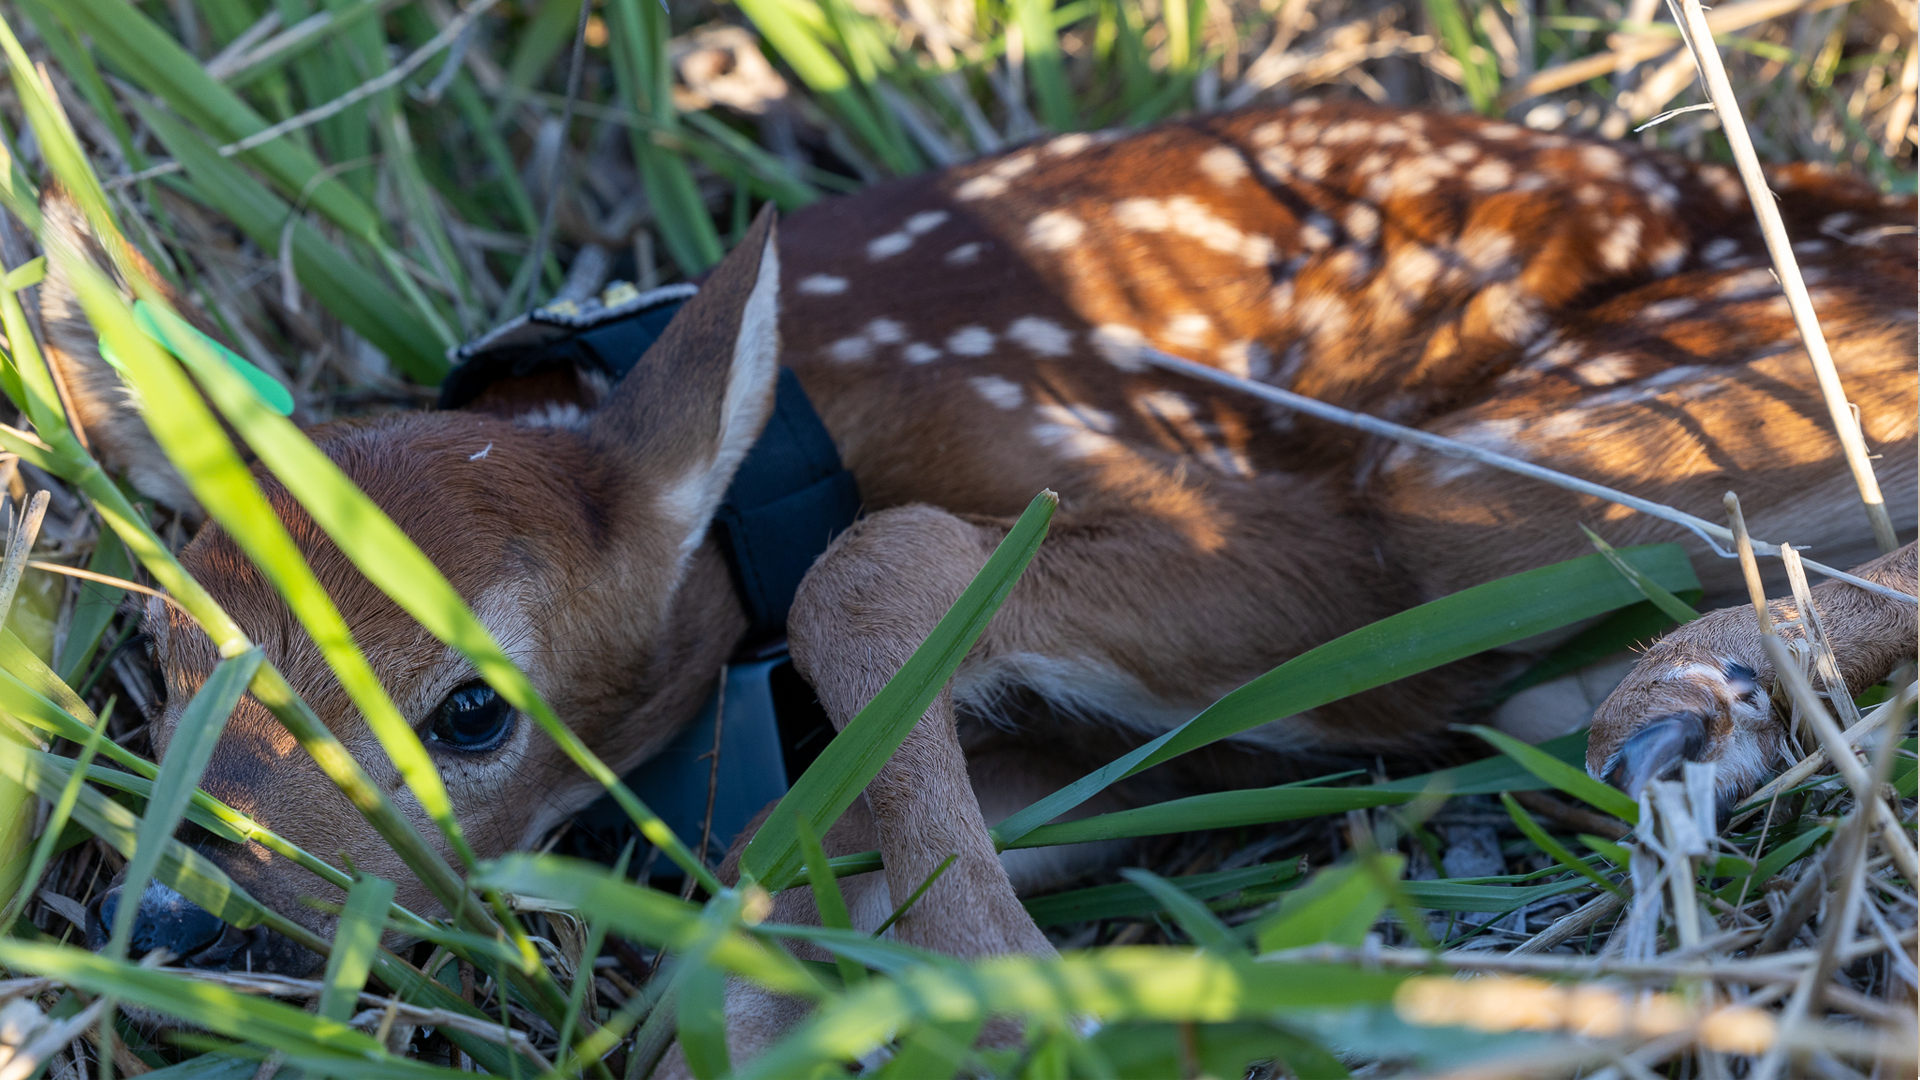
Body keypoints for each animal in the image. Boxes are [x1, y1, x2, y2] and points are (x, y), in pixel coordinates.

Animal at [31, 98, 1915, 1068]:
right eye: (153, 656)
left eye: (472, 711)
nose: (169, 925)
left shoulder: (1283, 551)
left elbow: (881, 567)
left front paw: (1019, 988)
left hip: (1486, 463)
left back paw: (1684, 701)